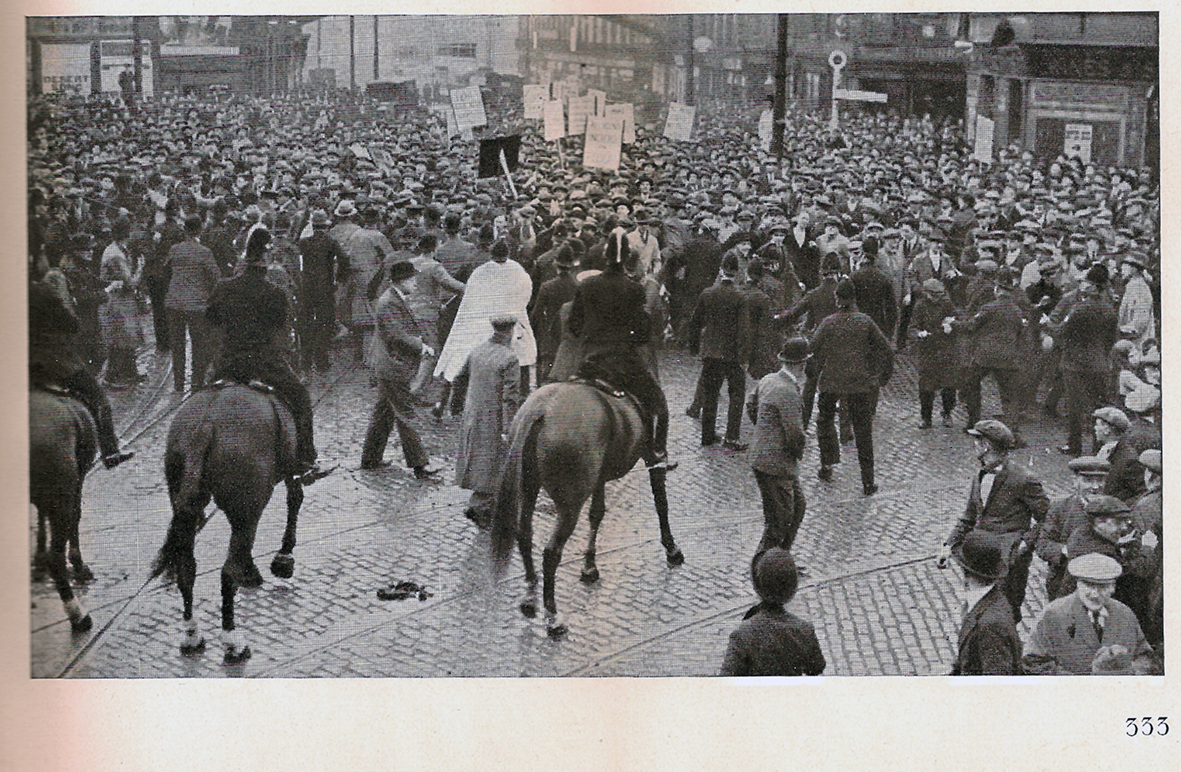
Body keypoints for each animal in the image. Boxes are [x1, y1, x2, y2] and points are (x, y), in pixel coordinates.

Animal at [30, 389, 98, 632]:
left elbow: (41, 516)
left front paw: (38, 556)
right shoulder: (76, 482)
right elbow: (76, 517)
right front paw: (78, 565)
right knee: (56, 558)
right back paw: (78, 615)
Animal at [152, 387, 307, 665]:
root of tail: (206, 425)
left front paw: (253, 570)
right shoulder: (290, 468)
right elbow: (295, 498)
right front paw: (283, 558)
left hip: (187, 508)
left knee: (186, 568)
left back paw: (192, 636)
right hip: (246, 512)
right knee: (227, 572)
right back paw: (233, 642)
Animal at [488, 380, 684, 642]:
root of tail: (540, 410)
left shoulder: (599, 478)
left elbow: (597, 513)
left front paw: (589, 565)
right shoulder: (651, 456)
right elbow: (661, 501)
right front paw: (672, 548)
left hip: (529, 489)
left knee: (524, 535)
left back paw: (530, 596)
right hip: (570, 504)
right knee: (551, 552)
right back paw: (553, 618)